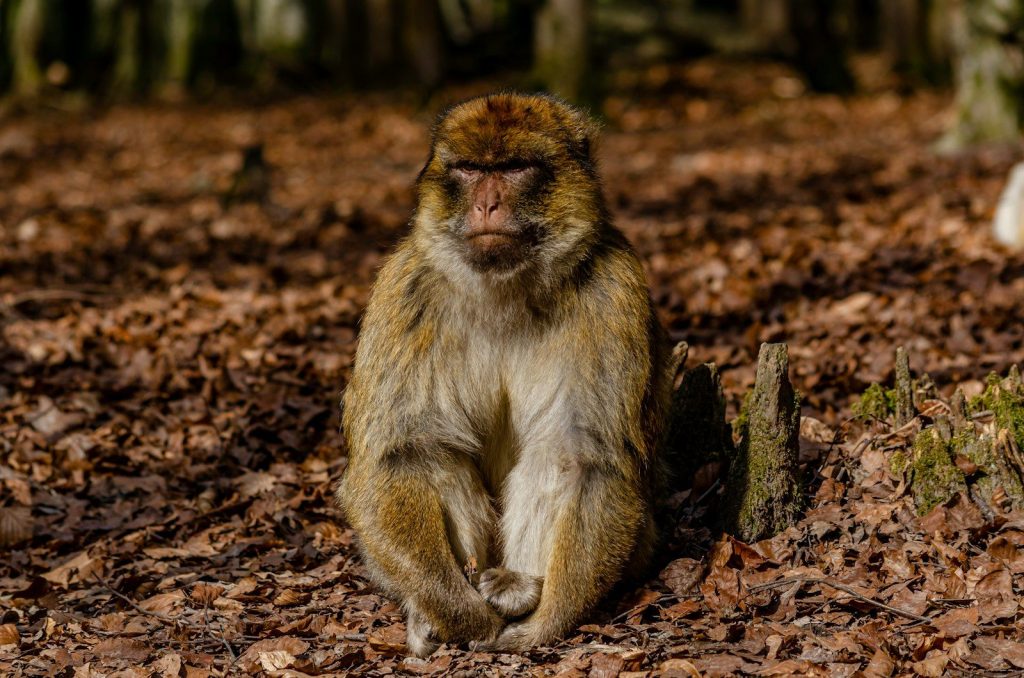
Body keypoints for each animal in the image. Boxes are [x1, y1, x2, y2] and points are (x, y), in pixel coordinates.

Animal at [337, 92, 673, 656]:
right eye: (471, 170)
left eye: (514, 168)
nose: (486, 205)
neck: (505, 290)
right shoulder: (404, 288)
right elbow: (403, 451)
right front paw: (459, 614)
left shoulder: (613, 288)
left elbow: (586, 456)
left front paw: (545, 625)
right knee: (436, 458)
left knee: (554, 457)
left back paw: (520, 588)